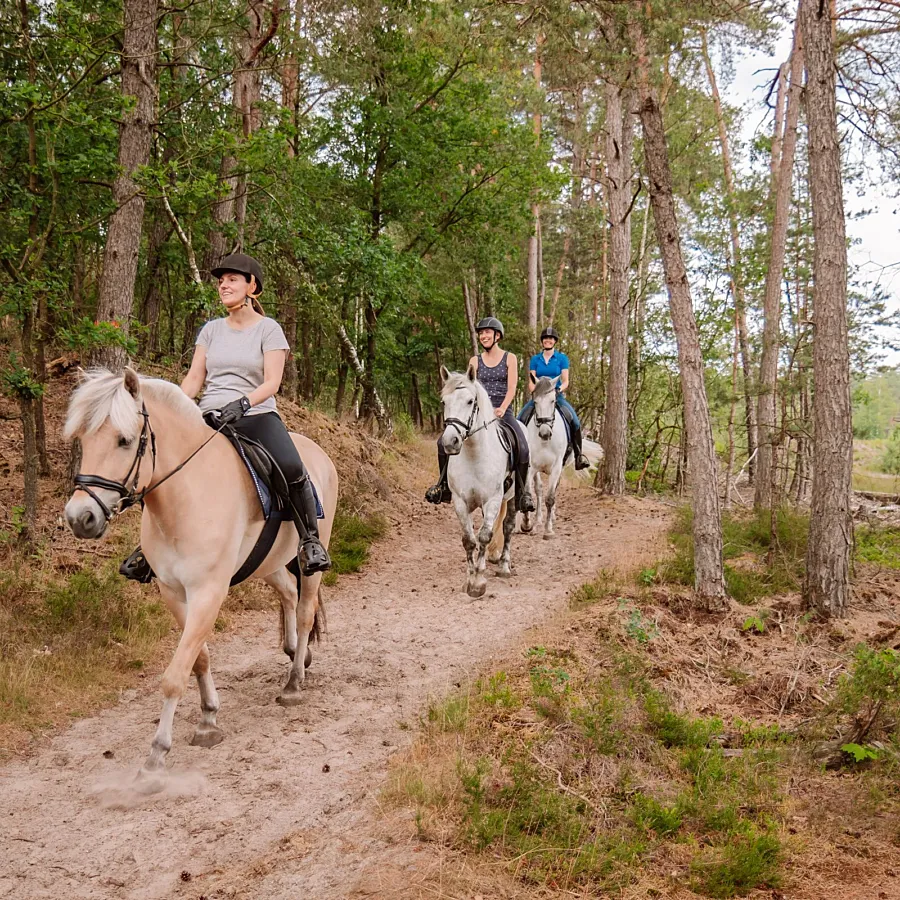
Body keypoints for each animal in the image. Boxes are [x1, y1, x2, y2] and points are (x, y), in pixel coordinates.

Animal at [62, 368, 338, 788]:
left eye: (124, 440)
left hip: (311, 556)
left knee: (306, 609)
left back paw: (293, 683)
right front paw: (208, 717)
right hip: (270, 563)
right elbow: (199, 658)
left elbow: (176, 673)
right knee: (289, 594)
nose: (80, 518)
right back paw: (296, 653)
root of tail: (318, 453)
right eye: (82, 439)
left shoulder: (208, 592)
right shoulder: (174, 593)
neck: (186, 497)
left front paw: (156, 756)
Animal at [440, 362, 516, 600]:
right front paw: (469, 577)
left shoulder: (492, 500)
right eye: (444, 402)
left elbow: (483, 536)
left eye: (470, 401)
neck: (474, 454)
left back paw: (504, 566)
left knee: (508, 527)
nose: (450, 441)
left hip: (514, 496)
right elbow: (468, 539)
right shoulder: (460, 502)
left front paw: (479, 582)